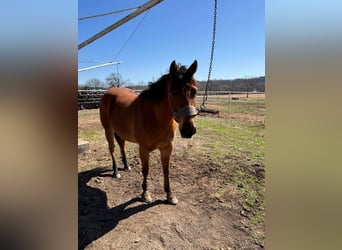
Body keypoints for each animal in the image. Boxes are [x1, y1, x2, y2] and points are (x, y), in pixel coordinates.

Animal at [99, 60, 199, 205]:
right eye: (173, 91)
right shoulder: (144, 149)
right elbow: (146, 170)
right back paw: (116, 171)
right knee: (112, 148)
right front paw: (145, 194)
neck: (155, 118)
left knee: (122, 145)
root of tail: (110, 91)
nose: (188, 130)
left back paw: (127, 166)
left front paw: (170, 195)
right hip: (108, 129)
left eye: (194, 91)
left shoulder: (167, 148)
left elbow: (166, 170)